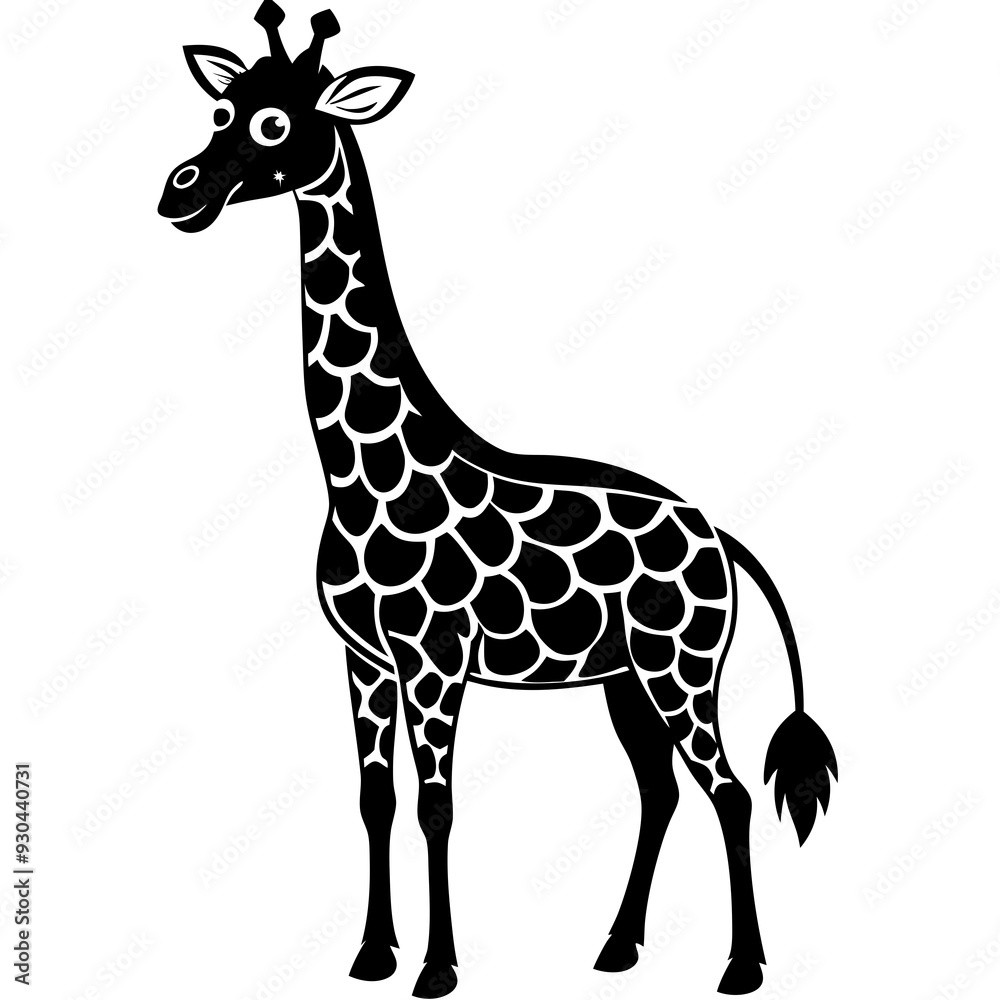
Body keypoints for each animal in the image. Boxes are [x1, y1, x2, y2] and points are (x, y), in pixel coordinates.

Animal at [158, 5, 837, 996]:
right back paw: (616, 946)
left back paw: (741, 966)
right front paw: (371, 954)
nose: (181, 193)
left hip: (680, 669)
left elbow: (437, 806)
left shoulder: (435, 661)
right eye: (219, 111)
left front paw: (437, 969)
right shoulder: (363, 660)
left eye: (277, 124)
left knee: (731, 791)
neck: (359, 475)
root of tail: (721, 537)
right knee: (661, 790)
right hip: (625, 678)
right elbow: (375, 798)